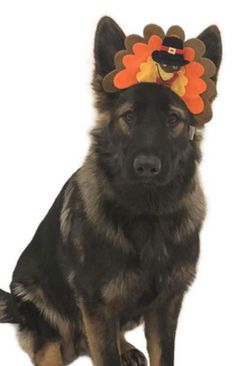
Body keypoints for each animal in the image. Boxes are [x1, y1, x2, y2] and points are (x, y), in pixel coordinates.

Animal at [0, 16, 221, 366]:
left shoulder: (166, 306)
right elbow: (104, 354)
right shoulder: (98, 308)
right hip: (36, 296)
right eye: (129, 116)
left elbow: (163, 355)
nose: (147, 167)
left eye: (173, 119)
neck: (147, 213)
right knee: (48, 346)